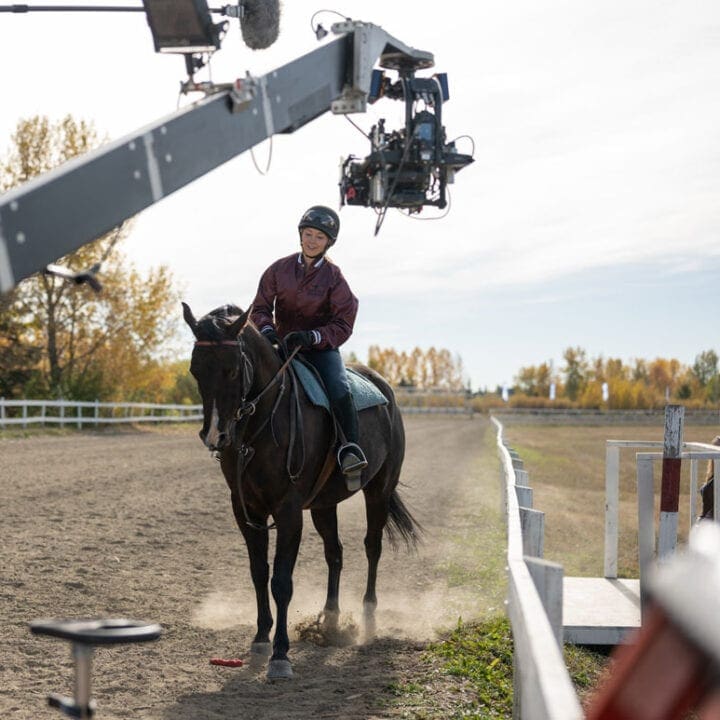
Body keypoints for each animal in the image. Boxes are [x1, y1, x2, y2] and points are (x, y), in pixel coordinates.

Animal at [181, 300, 422, 676]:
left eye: (233, 369)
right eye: (196, 369)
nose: (215, 435)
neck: (262, 423)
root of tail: (384, 390)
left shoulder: (289, 511)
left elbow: (281, 581)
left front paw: (281, 654)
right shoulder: (246, 510)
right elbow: (259, 573)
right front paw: (261, 638)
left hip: (378, 491)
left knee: (372, 548)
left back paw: (368, 618)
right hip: (325, 505)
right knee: (335, 553)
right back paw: (331, 619)